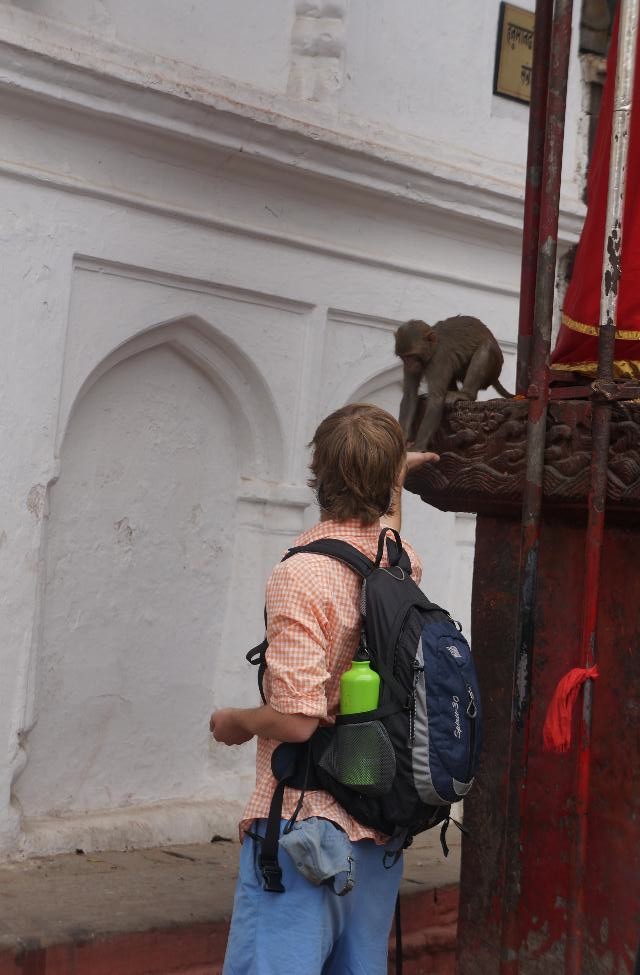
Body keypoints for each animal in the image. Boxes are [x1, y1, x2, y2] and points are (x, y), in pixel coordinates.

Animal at [395, 316, 512, 450]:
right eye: (404, 357)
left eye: (412, 356)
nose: (409, 364)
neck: (433, 348)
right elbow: (410, 395)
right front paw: (402, 439)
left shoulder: (439, 358)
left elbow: (436, 399)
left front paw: (418, 447)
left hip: (495, 366)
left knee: (485, 347)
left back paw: (466, 394)